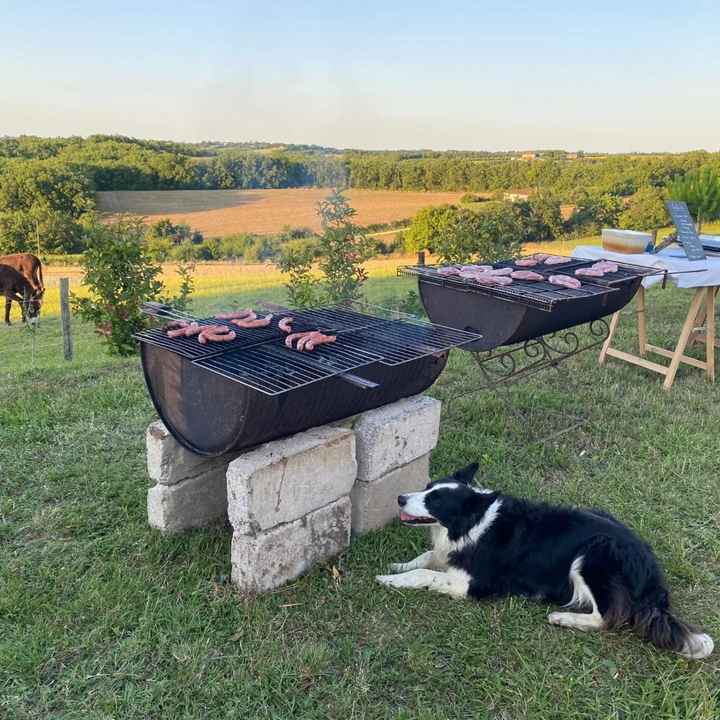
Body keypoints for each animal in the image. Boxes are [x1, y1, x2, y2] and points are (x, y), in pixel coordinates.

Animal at [376, 464, 716, 660]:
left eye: (435, 500)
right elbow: (425, 558)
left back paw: (563, 618)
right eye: (427, 487)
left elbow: (425, 574)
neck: (473, 522)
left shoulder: (473, 584)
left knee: (607, 618)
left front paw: (390, 580)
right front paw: (397, 566)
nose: (400, 498)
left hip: (594, 554)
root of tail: (653, 574)